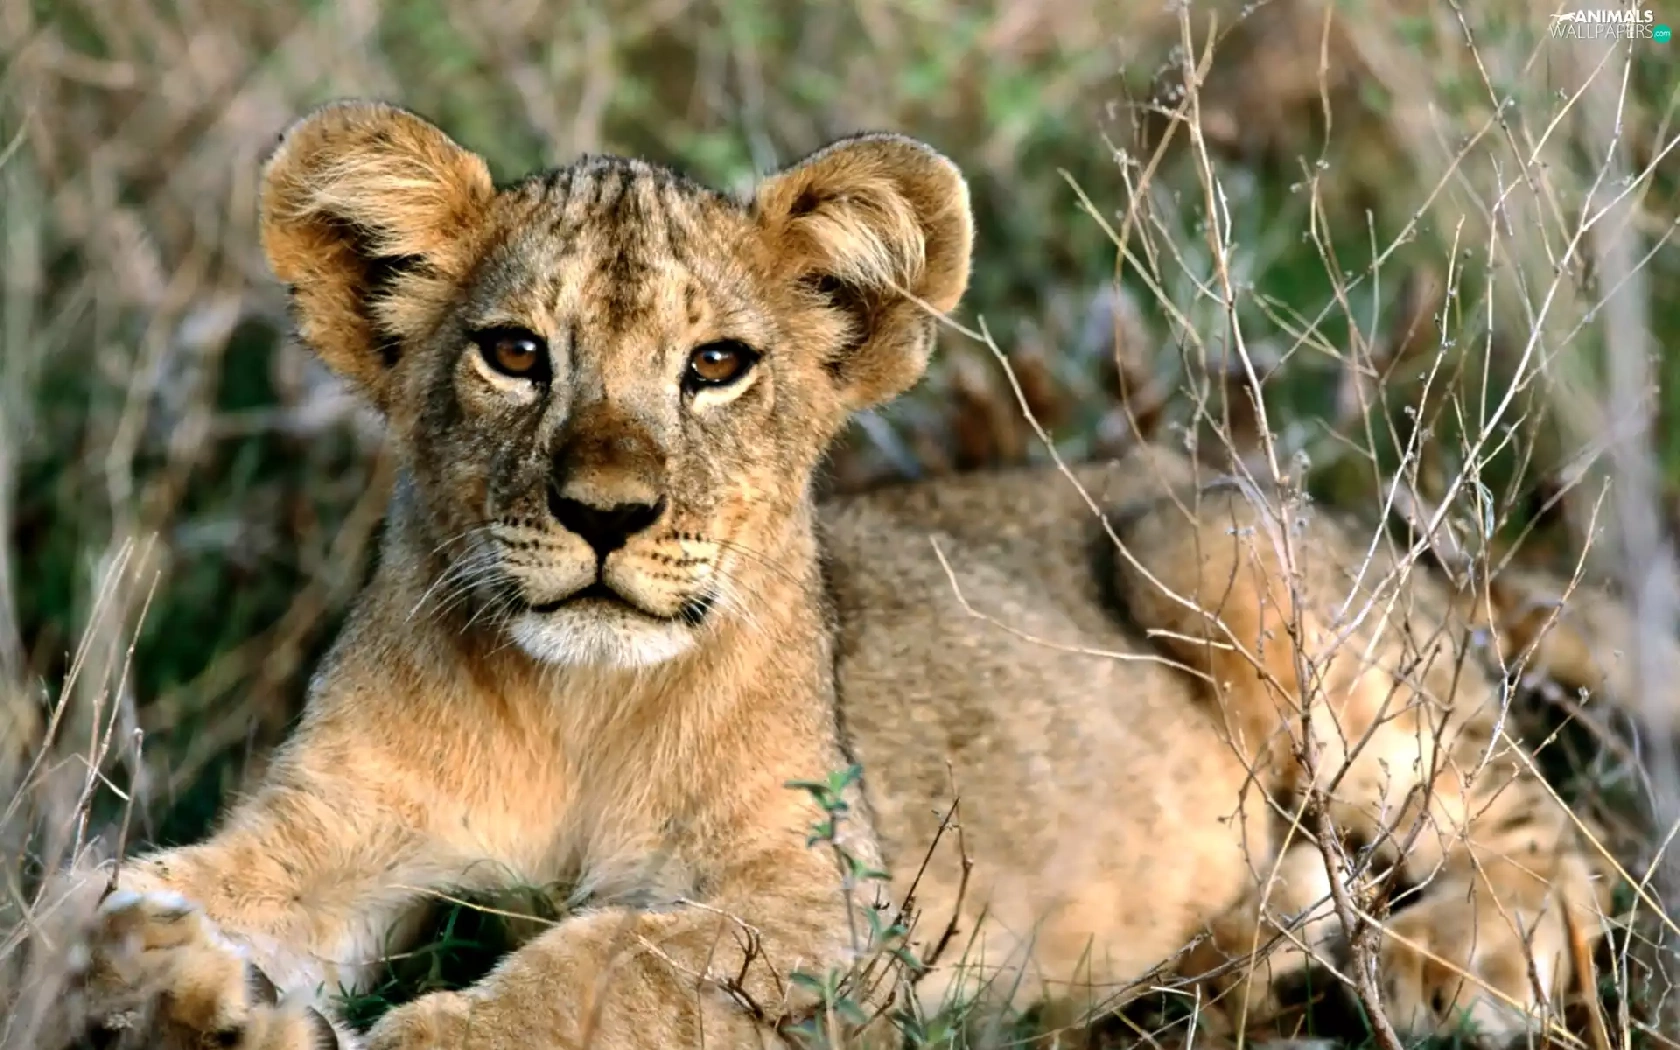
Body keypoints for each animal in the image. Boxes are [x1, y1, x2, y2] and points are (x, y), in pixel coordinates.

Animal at [47, 98, 1625, 1050]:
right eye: (514, 352)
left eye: (716, 365)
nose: (606, 514)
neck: (574, 710)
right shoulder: (328, 826)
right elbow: (100, 894)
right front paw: (177, 979)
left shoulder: (841, 913)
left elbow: (606, 962)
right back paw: (1251, 951)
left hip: (1210, 547)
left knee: (1554, 835)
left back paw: (1450, 964)